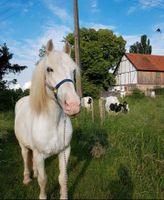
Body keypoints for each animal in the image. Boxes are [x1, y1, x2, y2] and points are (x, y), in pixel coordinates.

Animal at [14, 39, 80, 198]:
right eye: (49, 69)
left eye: (73, 71)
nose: (73, 105)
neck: (53, 123)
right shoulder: (39, 155)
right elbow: (43, 180)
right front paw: (43, 196)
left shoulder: (65, 151)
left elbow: (63, 178)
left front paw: (64, 196)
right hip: (23, 145)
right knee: (25, 158)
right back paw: (27, 178)